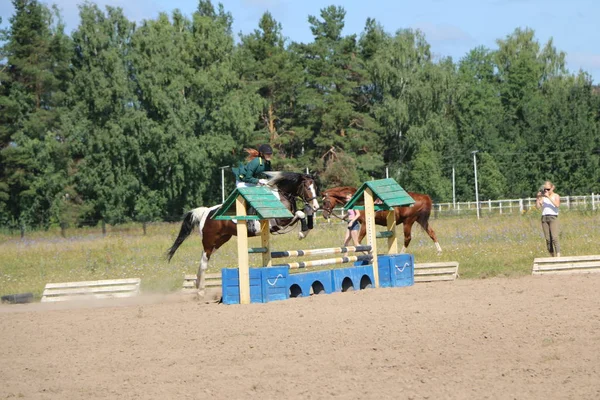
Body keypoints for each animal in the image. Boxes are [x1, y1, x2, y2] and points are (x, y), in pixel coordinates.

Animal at [166, 172, 322, 288]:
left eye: (315, 187)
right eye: (307, 187)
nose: (316, 206)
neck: (282, 196)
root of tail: (206, 212)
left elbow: (304, 212)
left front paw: (306, 229)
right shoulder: (279, 222)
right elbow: (300, 214)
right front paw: (302, 232)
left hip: (221, 240)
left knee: (203, 258)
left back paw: (197, 284)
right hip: (209, 241)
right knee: (204, 261)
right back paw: (200, 291)